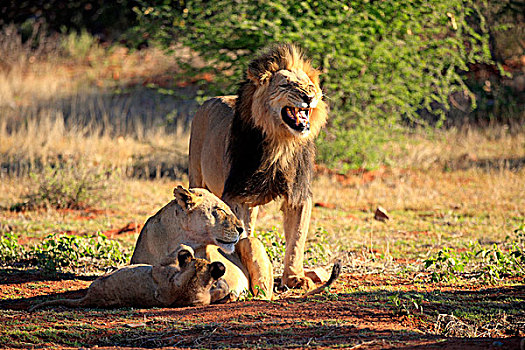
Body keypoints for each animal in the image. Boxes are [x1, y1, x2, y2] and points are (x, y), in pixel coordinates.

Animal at [188, 43, 328, 288]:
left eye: (310, 86)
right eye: (285, 85)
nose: (309, 97)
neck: (281, 143)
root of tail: (209, 100)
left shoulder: (298, 194)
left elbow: (297, 239)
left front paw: (295, 278)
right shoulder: (237, 194)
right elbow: (243, 237)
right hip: (196, 175)